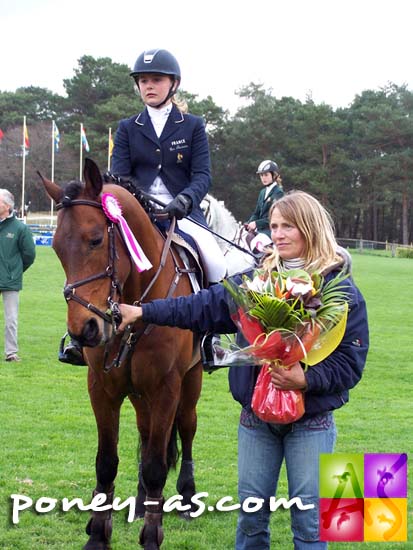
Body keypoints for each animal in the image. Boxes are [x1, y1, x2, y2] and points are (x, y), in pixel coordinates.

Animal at [39, 157, 204, 548]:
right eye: (56, 248)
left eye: (96, 240)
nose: (84, 330)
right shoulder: (102, 389)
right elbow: (107, 462)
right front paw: (98, 534)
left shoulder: (166, 389)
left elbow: (158, 465)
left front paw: (152, 537)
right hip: (139, 394)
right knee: (145, 436)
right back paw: (143, 503)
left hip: (190, 382)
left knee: (186, 428)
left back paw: (187, 498)